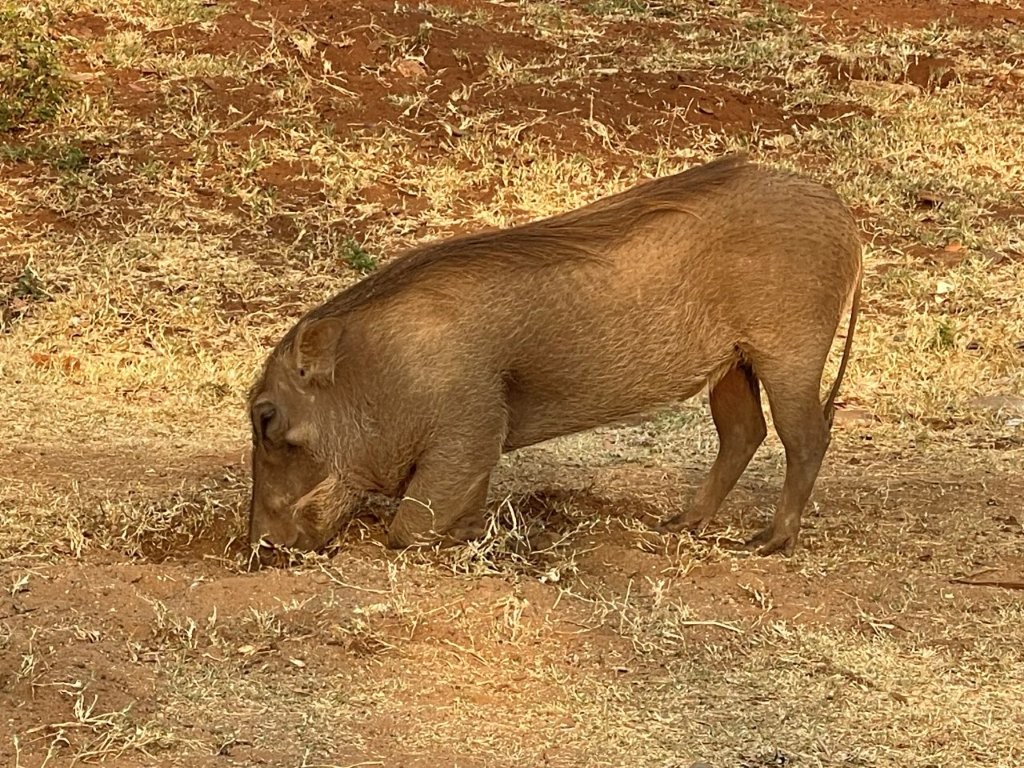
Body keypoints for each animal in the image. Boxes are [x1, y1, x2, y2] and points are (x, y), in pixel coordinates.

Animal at [246, 155, 862, 558]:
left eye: (266, 418)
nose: (258, 549)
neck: (377, 369)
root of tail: (841, 210)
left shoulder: (468, 430)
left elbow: (409, 528)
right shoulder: (471, 448)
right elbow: (461, 504)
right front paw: (474, 536)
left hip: (789, 354)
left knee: (805, 438)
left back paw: (772, 542)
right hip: (732, 362)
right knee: (743, 433)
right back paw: (681, 523)